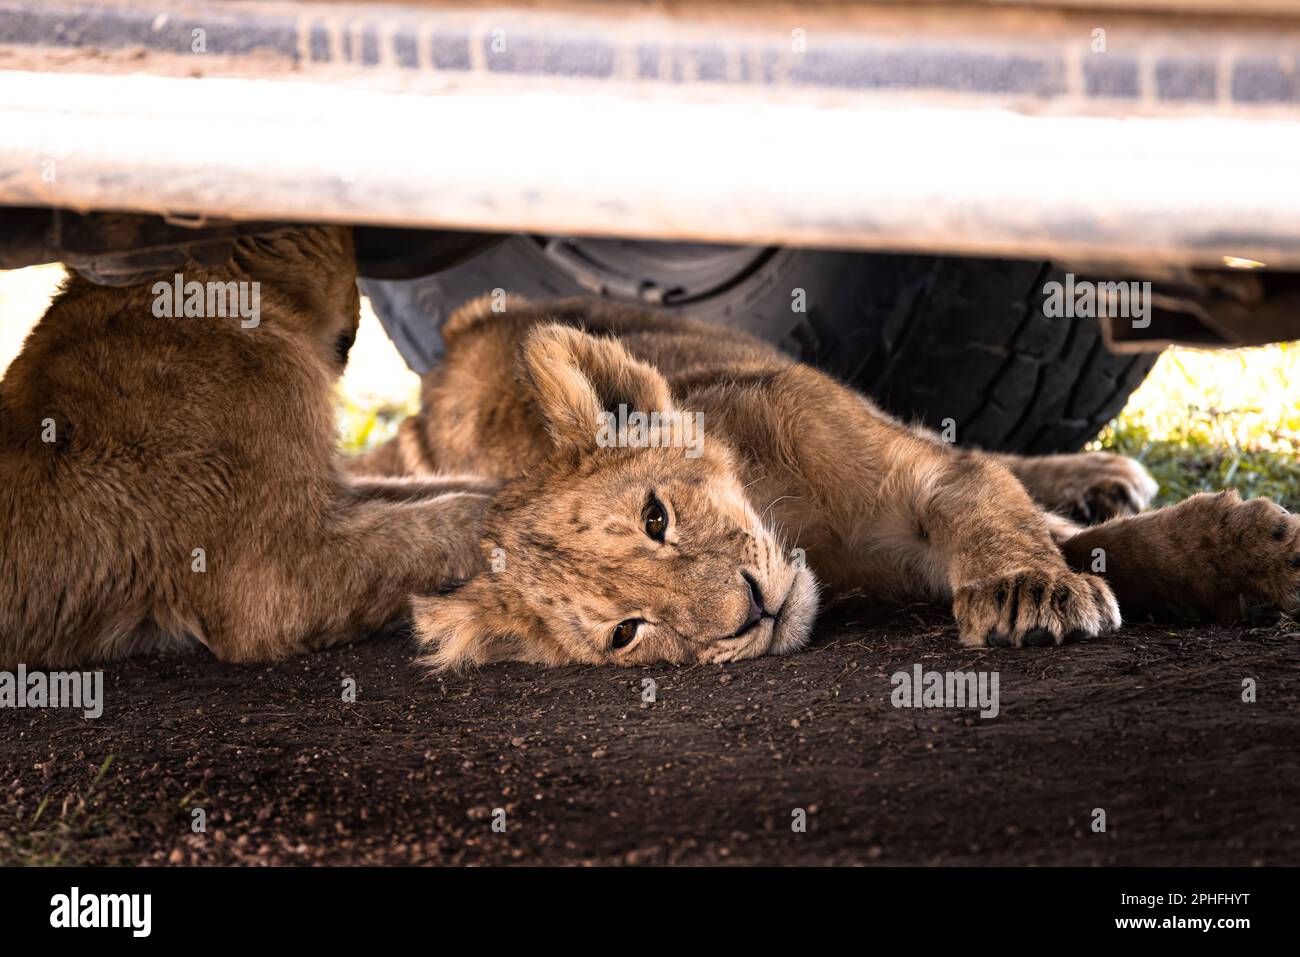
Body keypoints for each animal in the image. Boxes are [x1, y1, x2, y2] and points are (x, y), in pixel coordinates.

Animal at [353, 294, 1300, 670]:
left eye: (657, 517)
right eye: (627, 631)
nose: (750, 613)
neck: (797, 515)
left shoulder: (933, 476)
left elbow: (1014, 515)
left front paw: (1031, 590)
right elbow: (1089, 546)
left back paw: (1101, 472)